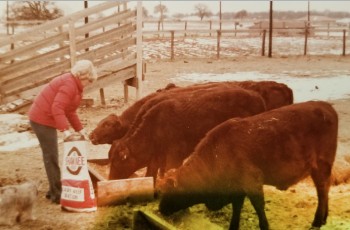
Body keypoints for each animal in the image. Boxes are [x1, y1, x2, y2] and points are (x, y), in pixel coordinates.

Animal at [159, 101, 340, 230]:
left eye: (170, 192)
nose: (160, 209)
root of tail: (325, 106)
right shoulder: (238, 188)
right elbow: (237, 208)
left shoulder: (252, 183)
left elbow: (259, 208)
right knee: (324, 191)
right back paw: (323, 219)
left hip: (321, 166)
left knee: (322, 191)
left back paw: (317, 221)